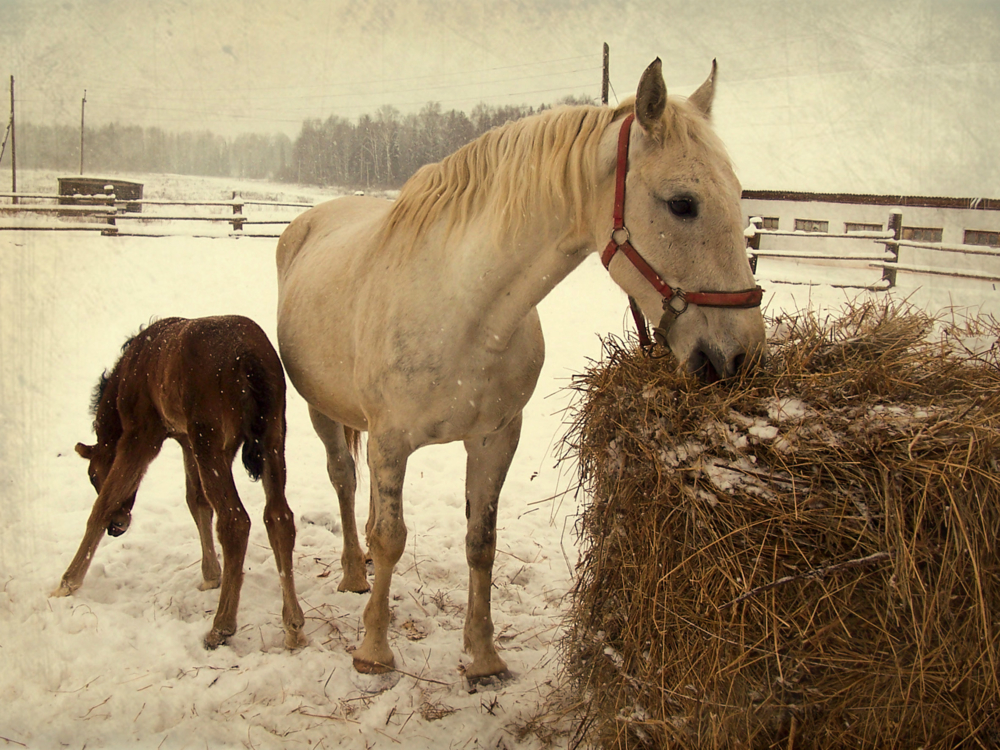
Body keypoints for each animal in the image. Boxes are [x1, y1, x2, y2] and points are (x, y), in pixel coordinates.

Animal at [274, 57, 764, 680]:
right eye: (682, 203)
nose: (742, 354)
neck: (466, 309)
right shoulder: (389, 440)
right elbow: (390, 539)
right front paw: (374, 651)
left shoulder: (496, 437)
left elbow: (480, 540)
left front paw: (483, 657)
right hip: (321, 410)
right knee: (344, 479)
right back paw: (354, 574)